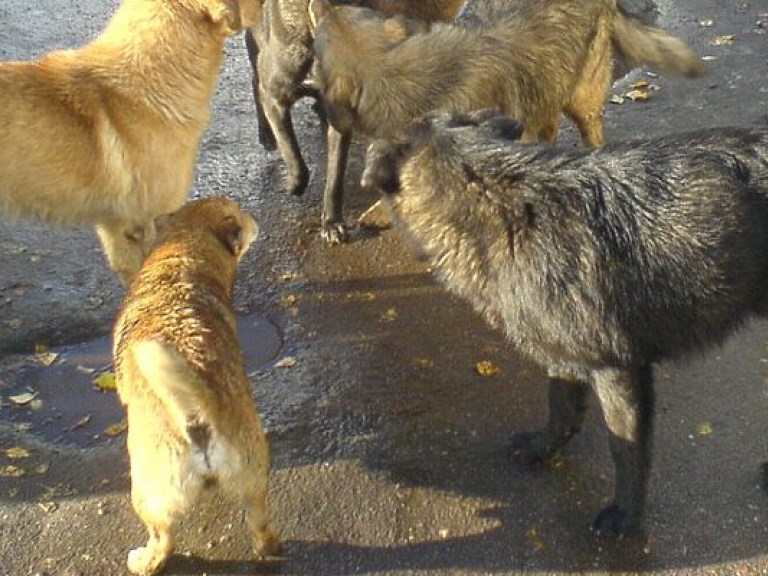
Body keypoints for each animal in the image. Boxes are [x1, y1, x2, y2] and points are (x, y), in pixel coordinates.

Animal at [112, 196, 280, 572]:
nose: (255, 219)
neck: (183, 255)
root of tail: (197, 413)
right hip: (254, 481)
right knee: (261, 524)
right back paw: (268, 548)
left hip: (146, 495)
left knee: (163, 541)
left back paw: (144, 561)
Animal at [246, 0, 462, 242]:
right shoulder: (275, 99)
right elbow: (293, 154)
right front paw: (293, 185)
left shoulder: (341, 117)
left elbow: (335, 177)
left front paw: (331, 222)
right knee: (255, 81)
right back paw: (266, 135)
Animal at [308, 0, 704, 237]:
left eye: (327, 23)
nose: (317, 3)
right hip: (548, 84)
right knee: (548, 126)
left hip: (582, 96)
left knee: (590, 134)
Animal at [364, 110, 768, 536]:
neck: (504, 205)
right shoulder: (562, 355)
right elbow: (561, 408)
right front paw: (543, 448)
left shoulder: (617, 369)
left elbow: (626, 449)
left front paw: (626, 513)